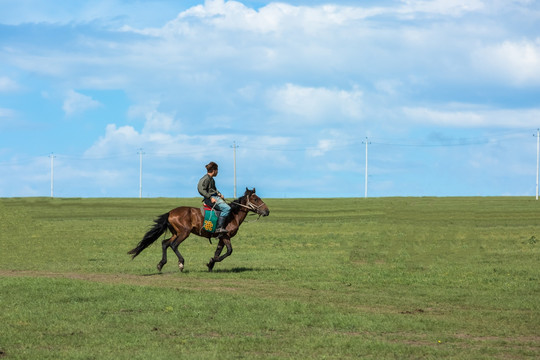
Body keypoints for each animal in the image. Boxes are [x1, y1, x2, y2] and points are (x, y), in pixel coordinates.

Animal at [127, 190, 270, 272]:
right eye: (256, 199)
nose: (267, 211)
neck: (232, 215)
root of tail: (170, 213)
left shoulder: (221, 238)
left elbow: (218, 252)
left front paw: (211, 264)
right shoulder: (226, 236)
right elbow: (229, 251)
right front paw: (212, 261)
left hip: (176, 233)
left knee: (165, 243)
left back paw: (161, 264)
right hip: (184, 233)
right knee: (173, 245)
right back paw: (181, 264)